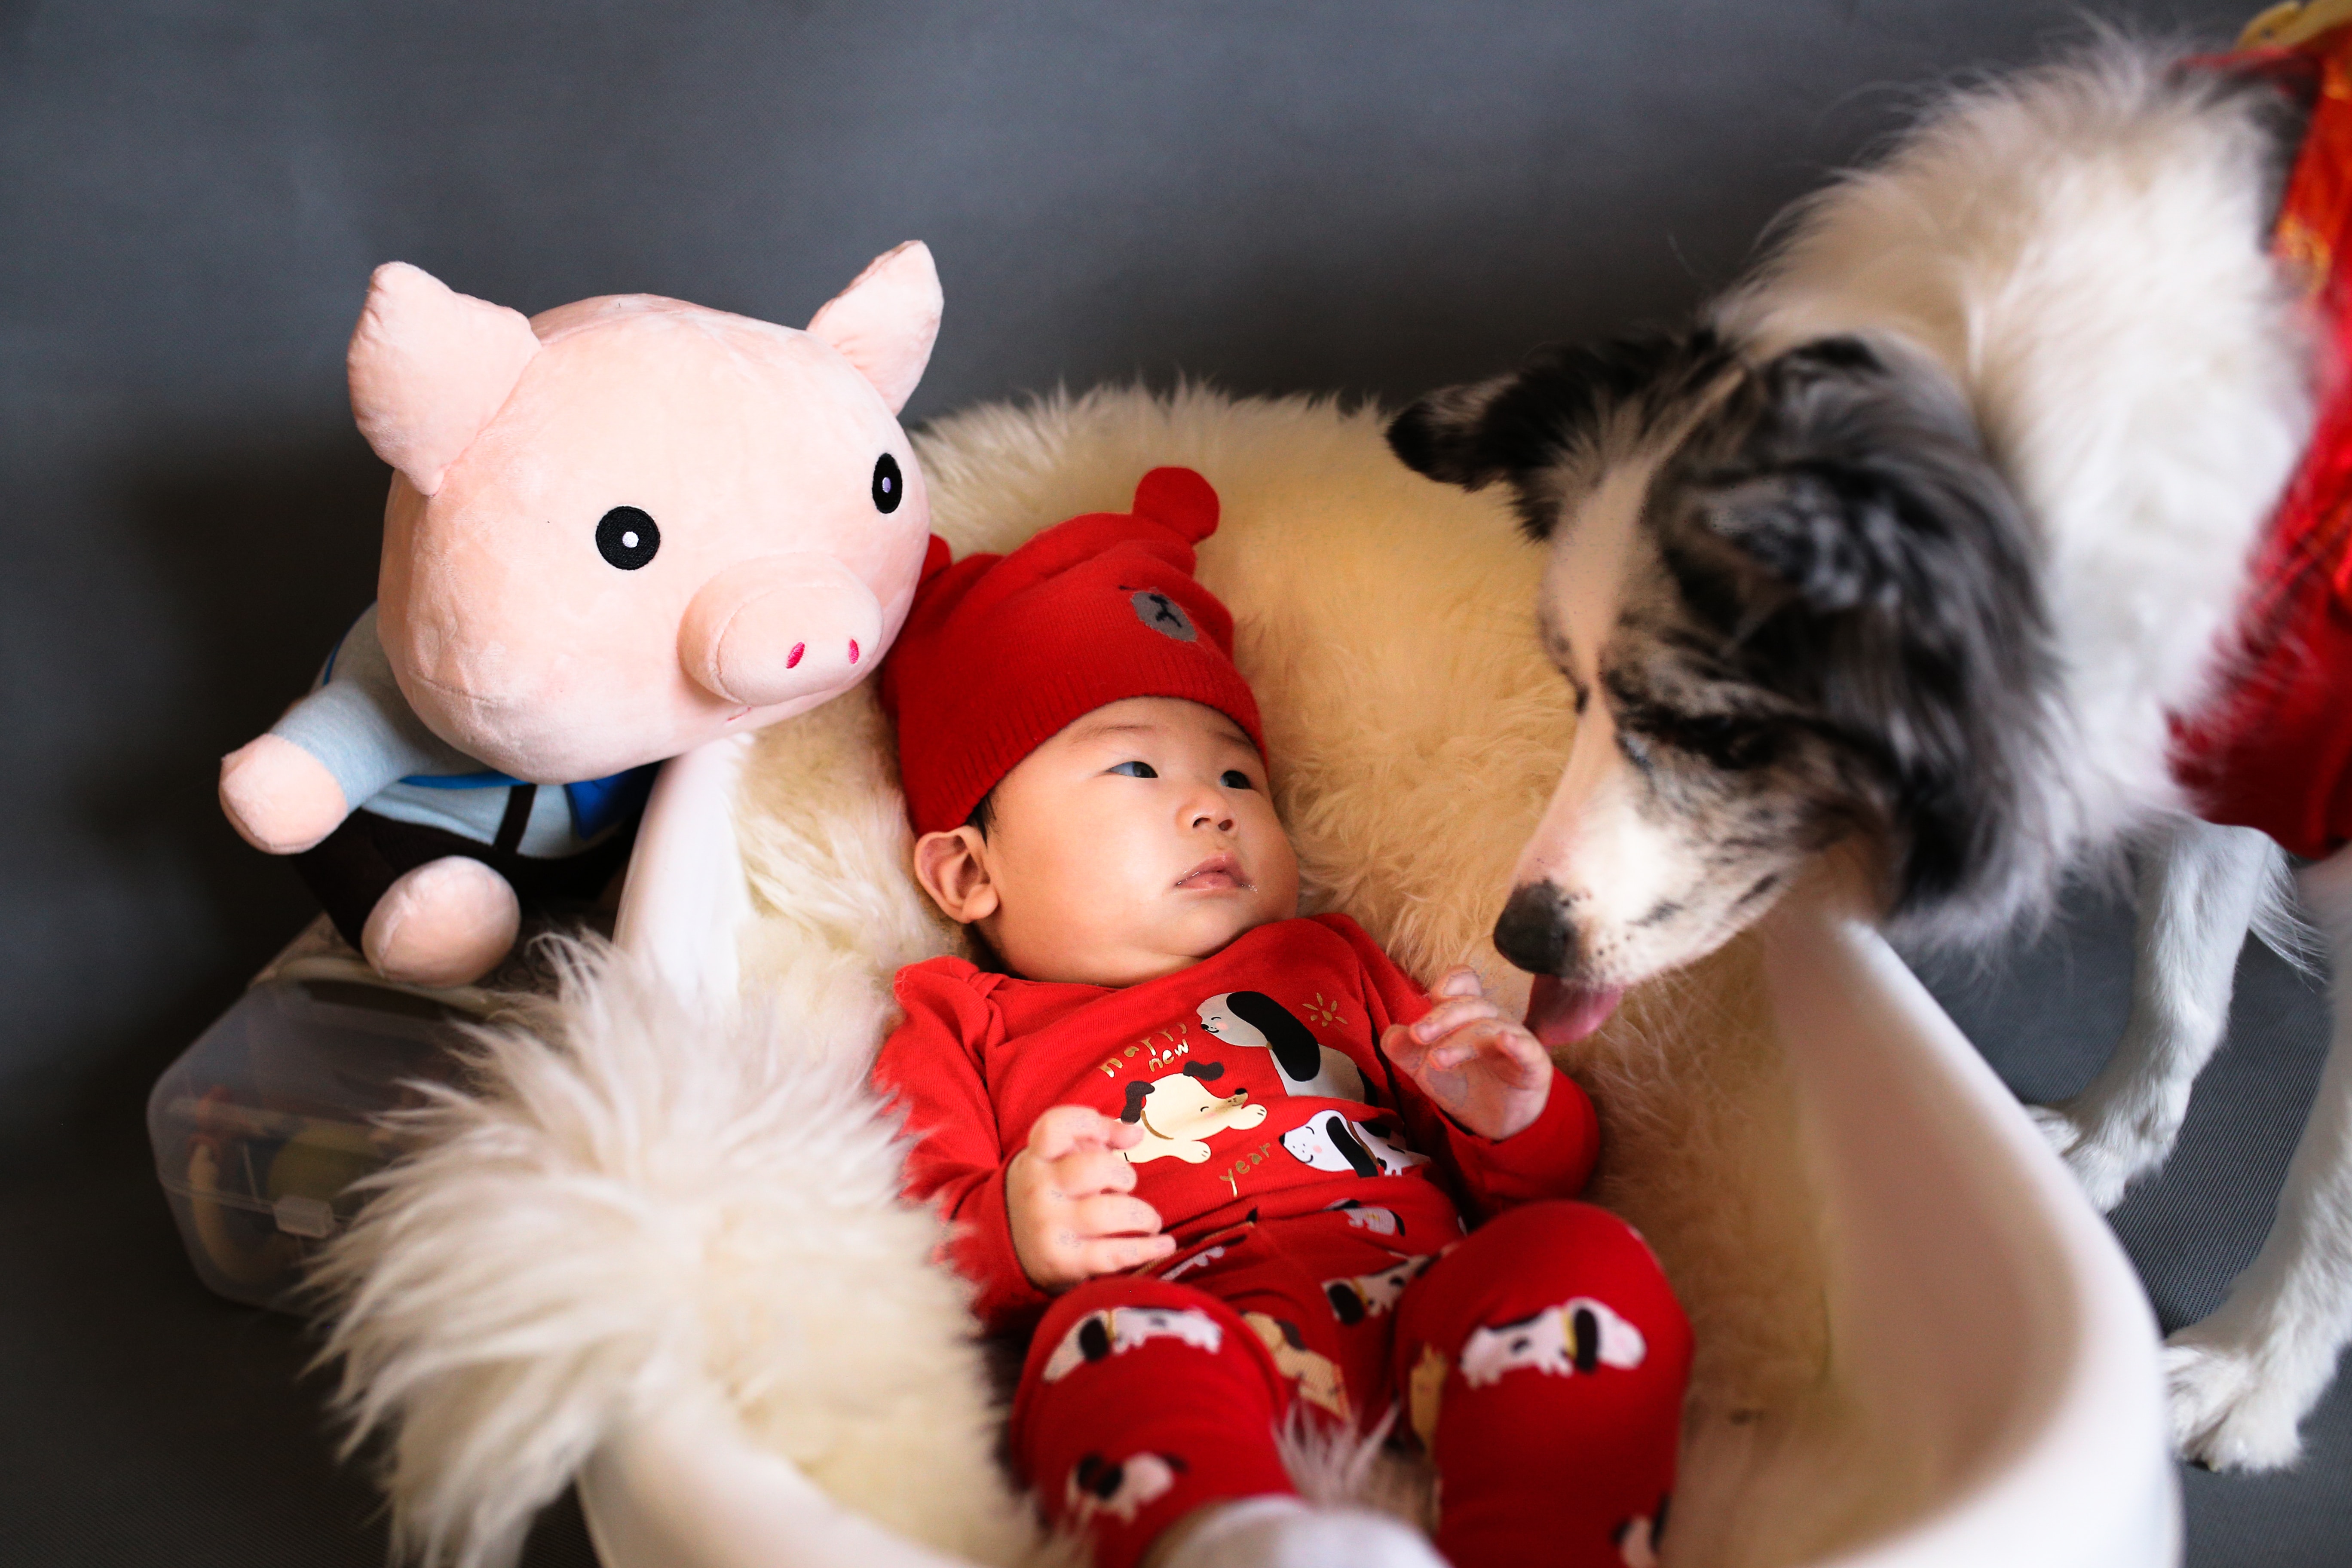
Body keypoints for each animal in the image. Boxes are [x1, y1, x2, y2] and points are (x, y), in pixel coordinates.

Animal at [1392, 43, 2352, 1476]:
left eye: (1724, 734)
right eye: (1573, 689)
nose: (1523, 938)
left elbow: (2327, 1186)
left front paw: (2255, 1371)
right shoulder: (2205, 725)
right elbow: (2179, 988)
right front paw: (2104, 1145)